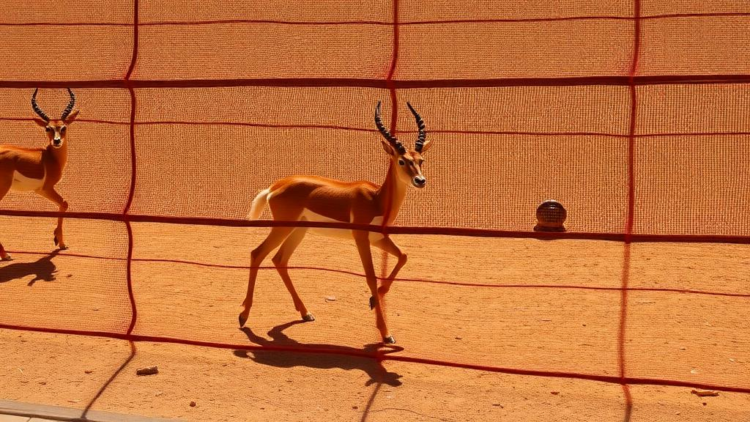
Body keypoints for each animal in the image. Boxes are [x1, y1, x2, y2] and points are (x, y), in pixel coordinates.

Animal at [0, 89, 78, 261]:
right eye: (47, 128)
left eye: (63, 127)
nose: (57, 141)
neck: (50, 157)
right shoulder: (45, 188)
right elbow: (64, 203)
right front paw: (60, 243)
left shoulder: (41, 191)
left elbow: (63, 204)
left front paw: (57, 240)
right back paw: (6, 255)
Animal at [239, 102, 432, 344]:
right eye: (402, 160)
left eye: (421, 160)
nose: (420, 181)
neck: (376, 199)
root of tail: (274, 187)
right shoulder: (361, 239)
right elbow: (370, 277)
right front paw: (386, 334)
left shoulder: (378, 238)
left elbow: (403, 256)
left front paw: (373, 300)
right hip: (283, 227)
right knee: (257, 253)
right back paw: (243, 317)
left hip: (299, 230)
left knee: (279, 259)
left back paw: (306, 313)